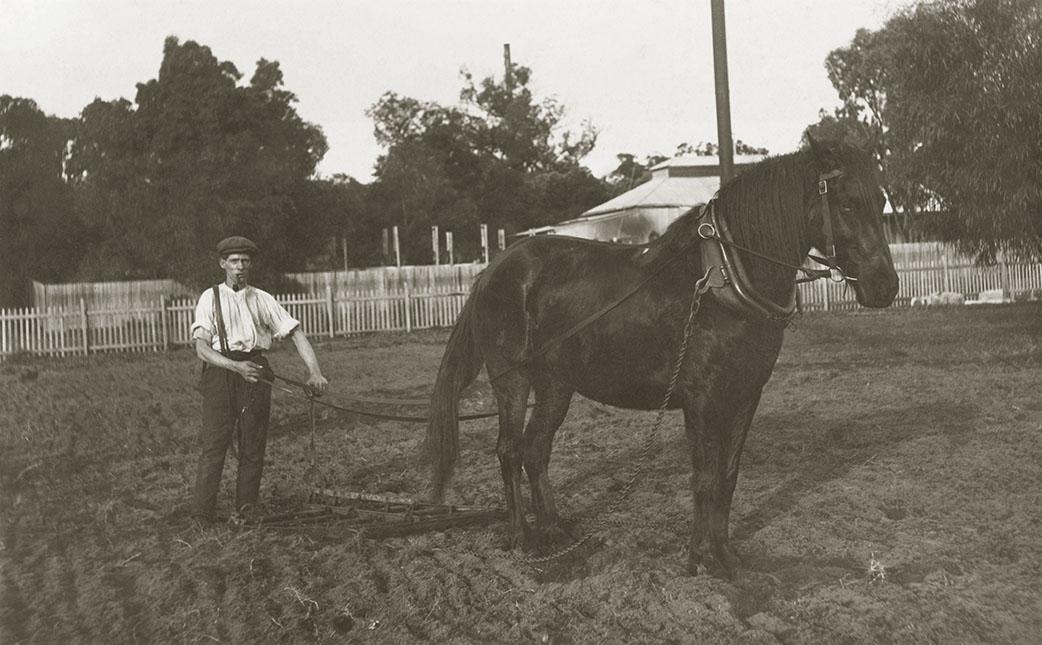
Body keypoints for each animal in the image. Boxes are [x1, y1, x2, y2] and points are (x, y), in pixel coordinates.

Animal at [427, 138, 900, 579]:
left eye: (880, 201)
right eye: (847, 202)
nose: (885, 286)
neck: (724, 280)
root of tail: (494, 269)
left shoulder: (746, 394)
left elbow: (728, 475)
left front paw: (725, 555)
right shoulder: (703, 399)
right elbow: (704, 477)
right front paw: (702, 558)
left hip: (556, 385)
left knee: (535, 448)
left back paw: (554, 529)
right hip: (512, 379)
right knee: (509, 450)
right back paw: (522, 537)